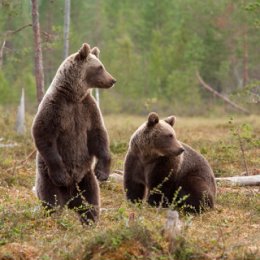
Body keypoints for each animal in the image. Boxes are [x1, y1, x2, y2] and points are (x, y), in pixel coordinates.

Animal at [31, 42, 116, 223]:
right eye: (100, 67)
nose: (112, 80)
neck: (73, 96)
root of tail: (70, 199)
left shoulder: (88, 109)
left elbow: (98, 135)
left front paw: (102, 172)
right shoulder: (55, 107)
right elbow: (43, 133)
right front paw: (62, 175)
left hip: (86, 179)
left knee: (91, 202)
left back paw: (91, 221)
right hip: (47, 178)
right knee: (52, 202)